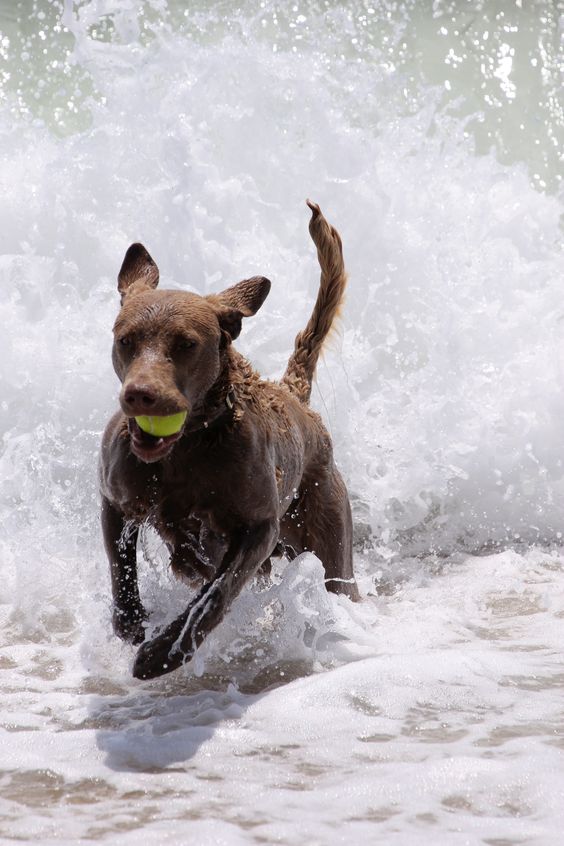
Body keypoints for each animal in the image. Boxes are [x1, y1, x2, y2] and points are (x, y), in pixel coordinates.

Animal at [99, 200, 360, 684]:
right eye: (125, 340)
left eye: (186, 344)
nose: (139, 395)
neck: (186, 449)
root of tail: (293, 395)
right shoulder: (116, 497)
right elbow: (120, 563)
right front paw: (130, 622)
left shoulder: (258, 527)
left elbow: (215, 595)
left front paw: (163, 654)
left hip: (326, 529)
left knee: (337, 583)